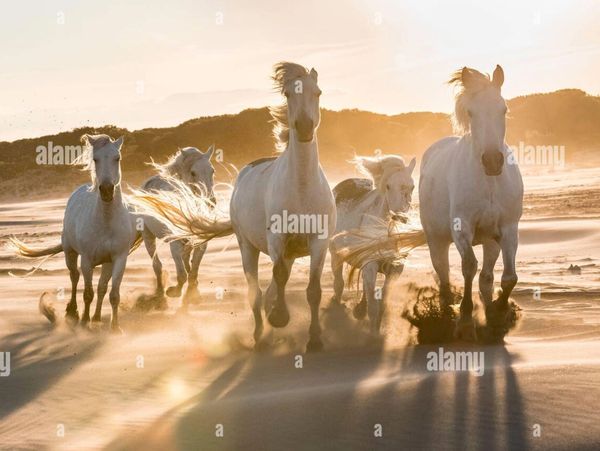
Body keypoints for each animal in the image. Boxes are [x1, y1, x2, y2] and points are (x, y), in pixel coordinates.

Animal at [12, 134, 139, 332]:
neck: (107, 220)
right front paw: (85, 320)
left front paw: (115, 327)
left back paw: (97, 317)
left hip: (106, 263)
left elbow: (112, 294)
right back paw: (73, 312)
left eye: (117, 158)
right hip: (70, 253)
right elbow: (87, 293)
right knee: (74, 277)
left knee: (102, 287)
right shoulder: (86, 260)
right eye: (95, 159)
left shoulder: (119, 259)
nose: (107, 190)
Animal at [141, 146, 216, 308]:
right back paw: (160, 294)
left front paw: (194, 295)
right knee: (157, 265)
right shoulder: (174, 243)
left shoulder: (201, 243)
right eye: (193, 173)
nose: (210, 203)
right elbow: (182, 274)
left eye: (212, 170)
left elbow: (193, 270)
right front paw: (174, 292)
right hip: (147, 235)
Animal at [328, 154, 418, 334]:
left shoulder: (395, 268)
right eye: (388, 186)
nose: (400, 217)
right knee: (339, 283)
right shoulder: (370, 265)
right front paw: (372, 334)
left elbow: (382, 302)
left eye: (412, 187)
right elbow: (374, 307)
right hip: (335, 254)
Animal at [420, 66, 524, 342]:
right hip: (436, 240)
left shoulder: (508, 228)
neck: (488, 183)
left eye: (503, 109)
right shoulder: (461, 228)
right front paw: (466, 319)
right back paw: (446, 314)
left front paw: (499, 311)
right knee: (444, 276)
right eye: (471, 112)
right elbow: (468, 266)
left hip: (490, 240)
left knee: (486, 277)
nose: (492, 161)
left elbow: (509, 278)